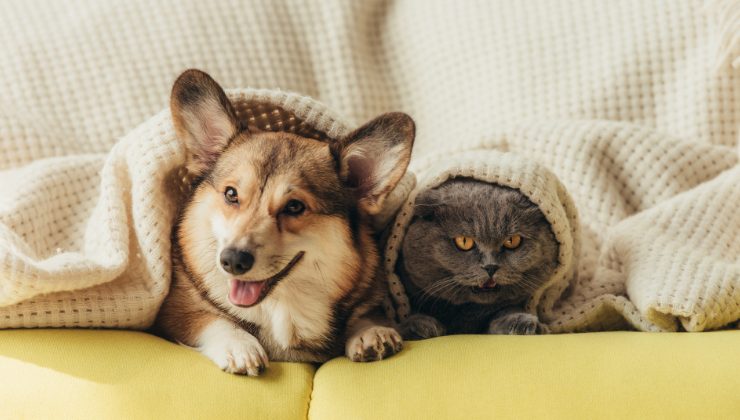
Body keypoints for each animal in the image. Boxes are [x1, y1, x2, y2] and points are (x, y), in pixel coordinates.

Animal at [155, 69, 416, 378]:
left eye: (294, 207)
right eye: (231, 194)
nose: (232, 261)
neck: (282, 307)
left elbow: (366, 314)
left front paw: (371, 331)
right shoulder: (174, 312)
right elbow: (211, 319)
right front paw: (240, 345)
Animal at [398, 177, 556, 338]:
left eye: (512, 241)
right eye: (464, 241)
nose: (490, 267)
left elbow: (505, 310)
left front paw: (524, 323)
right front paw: (419, 325)